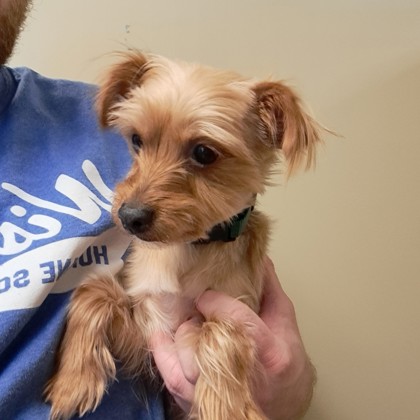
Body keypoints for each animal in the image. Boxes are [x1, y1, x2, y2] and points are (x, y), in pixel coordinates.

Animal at [45, 50, 322, 418]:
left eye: (204, 152)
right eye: (137, 140)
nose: (129, 216)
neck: (186, 247)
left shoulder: (239, 309)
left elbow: (221, 333)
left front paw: (225, 410)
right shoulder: (147, 331)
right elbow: (94, 291)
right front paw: (72, 382)